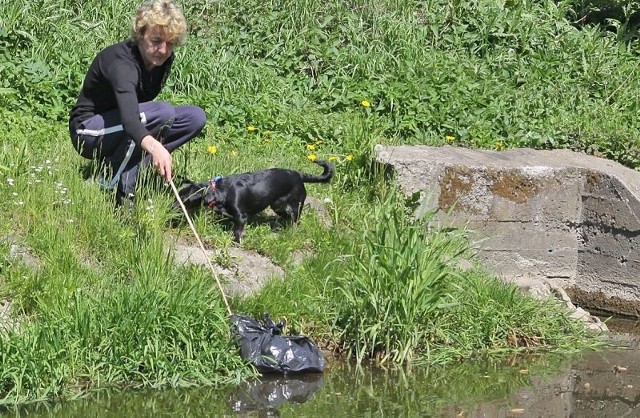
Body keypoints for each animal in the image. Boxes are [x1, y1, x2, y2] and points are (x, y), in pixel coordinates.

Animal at [175, 162, 336, 243]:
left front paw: (236, 242)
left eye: (182, 199)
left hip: (294, 206)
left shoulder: (241, 216)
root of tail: (299, 175)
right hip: (277, 205)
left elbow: (238, 232)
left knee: (295, 220)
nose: (172, 207)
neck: (220, 190)